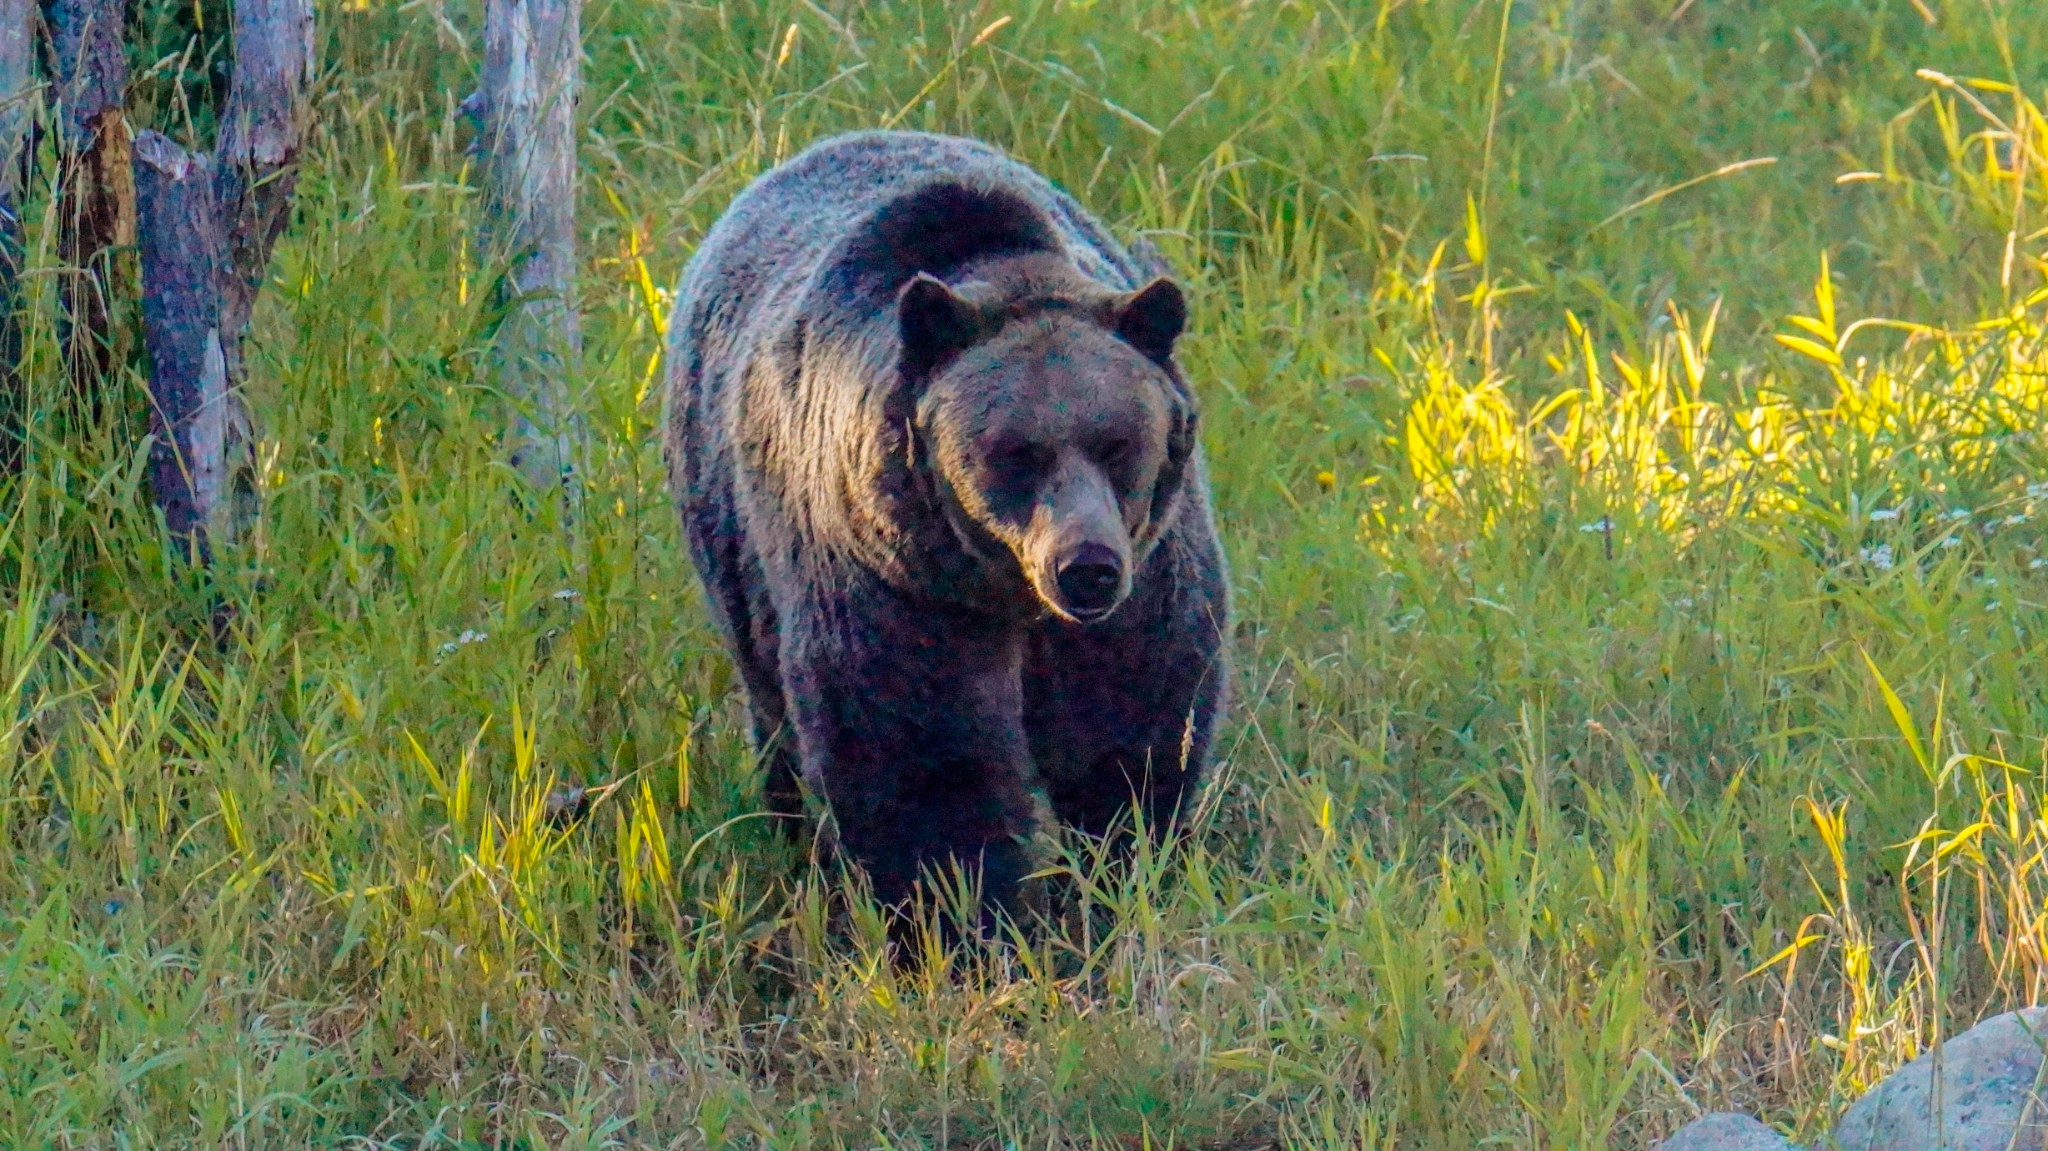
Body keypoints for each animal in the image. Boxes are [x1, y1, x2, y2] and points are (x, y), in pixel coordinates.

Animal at [663, 132, 1220, 921]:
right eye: (1015, 451)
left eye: (1117, 442)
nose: (1085, 566)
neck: (1006, 596)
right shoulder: (891, 580)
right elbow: (922, 756)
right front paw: (963, 912)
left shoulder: (1149, 578)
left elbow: (1130, 726)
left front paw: (1114, 878)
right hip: (735, 541)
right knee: (773, 706)